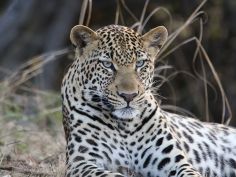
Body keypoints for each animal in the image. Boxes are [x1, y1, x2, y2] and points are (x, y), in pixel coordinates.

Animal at [61, 23, 236, 177]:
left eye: (140, 63)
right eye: (107, 65)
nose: (129, 95)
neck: (124, 127)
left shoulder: (174, 162)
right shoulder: (81, 163)